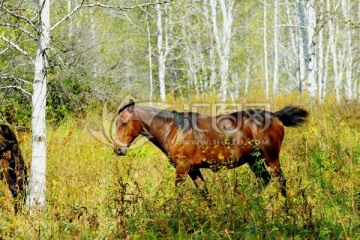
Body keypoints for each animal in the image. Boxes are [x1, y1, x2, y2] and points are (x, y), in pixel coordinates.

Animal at [114, 99, 308, 201]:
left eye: (124, 123)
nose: (118, 150)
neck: (174, 129)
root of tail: (275, 116)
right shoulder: (193, 170)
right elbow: (205, 194)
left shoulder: (182, 169)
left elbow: (178, 194)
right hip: (254, 160)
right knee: (265, 180)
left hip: (271, 157)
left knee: (280, 181)